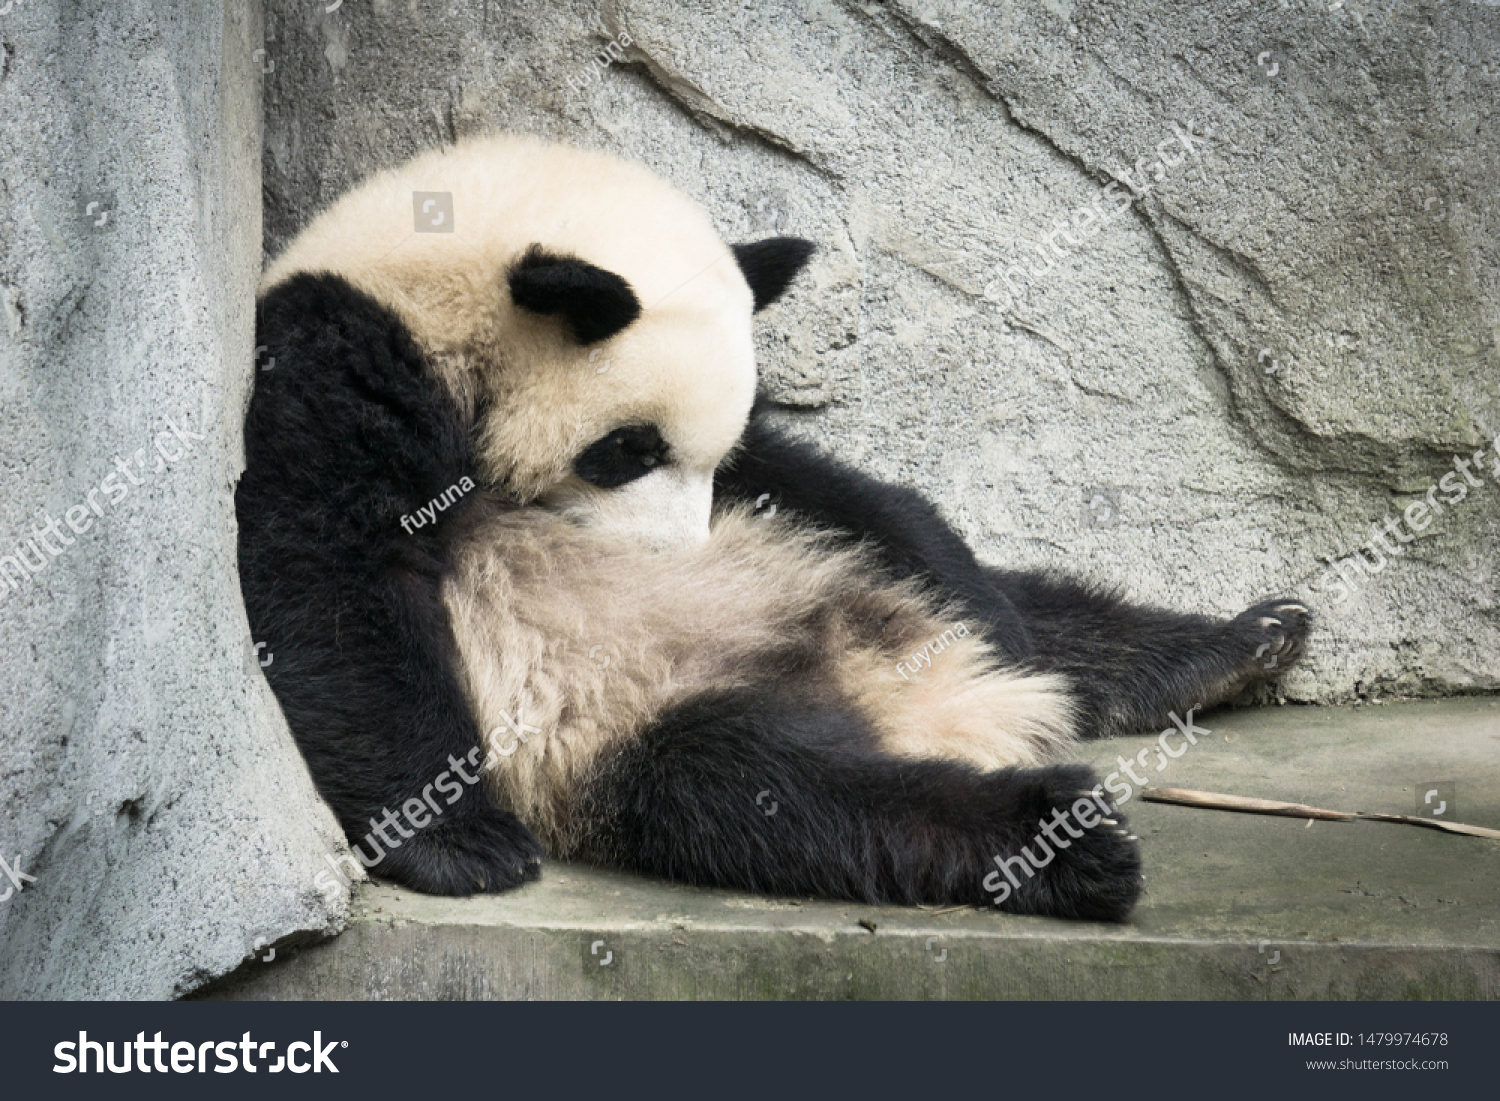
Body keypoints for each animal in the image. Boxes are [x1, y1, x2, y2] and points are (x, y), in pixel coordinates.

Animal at [240, 133, 1308, 924]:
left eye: (695, 456)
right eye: (626, 449)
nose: (676, 557)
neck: (424, 287)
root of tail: (907, 694)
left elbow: (817, 480)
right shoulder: (331, 370)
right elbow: (328, 591)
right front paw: (459, 840)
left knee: (1042, 612)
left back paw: (1233, 645)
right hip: (637, 722)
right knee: (785, 793)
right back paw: (1066, 837)